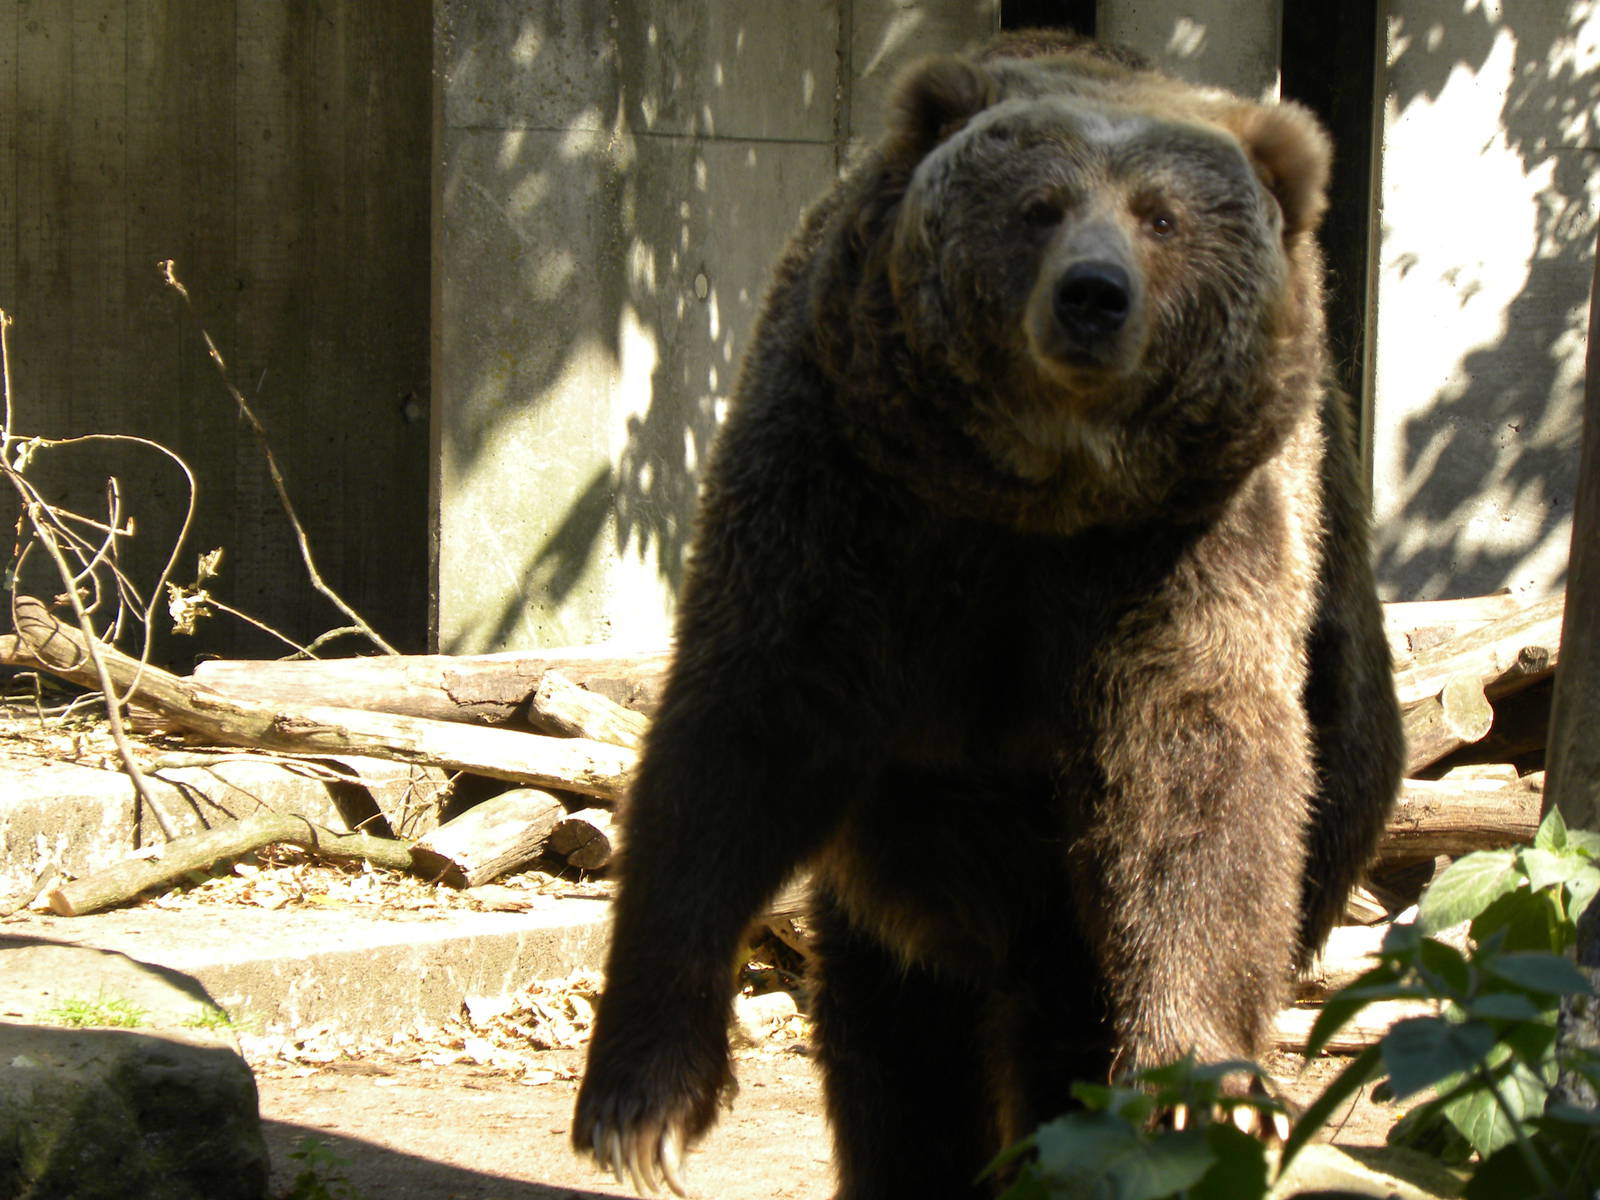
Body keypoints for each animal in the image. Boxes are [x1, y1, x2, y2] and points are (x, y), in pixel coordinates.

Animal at [572, 30, 1403, 1200]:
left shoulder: (1191, 537)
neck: (1038, 493)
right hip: (897, 873)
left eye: (1161, 216)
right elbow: (744, 736)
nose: (1094, 296)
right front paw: (640, 1105)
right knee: (897, 1045)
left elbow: (1197, 770)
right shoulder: (844, 478)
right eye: (1040, 206)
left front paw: (1195, 1086)